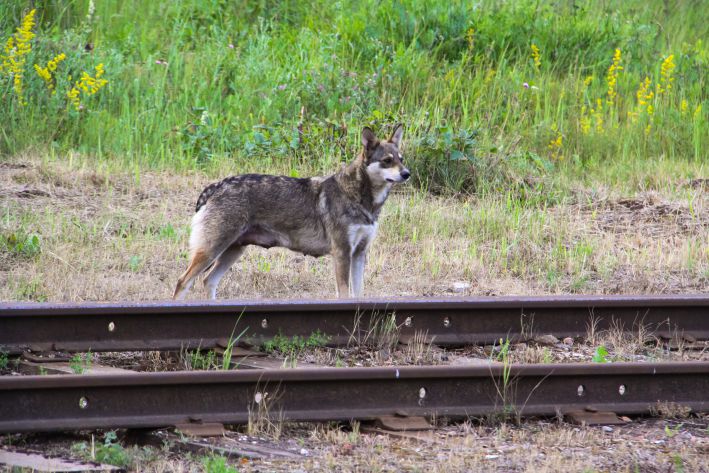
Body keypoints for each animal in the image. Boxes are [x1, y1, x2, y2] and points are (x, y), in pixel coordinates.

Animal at [171, 123, 410, 296]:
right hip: (212, 251)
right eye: (387, 161)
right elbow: (344, 294)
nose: (407, 173)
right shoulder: (342, 253)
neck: (360, 198)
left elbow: (359, 295)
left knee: (208, 281)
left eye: (401, 159)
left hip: (232, 251)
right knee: (182, 282)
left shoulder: (359, 253)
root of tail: (215, 186)